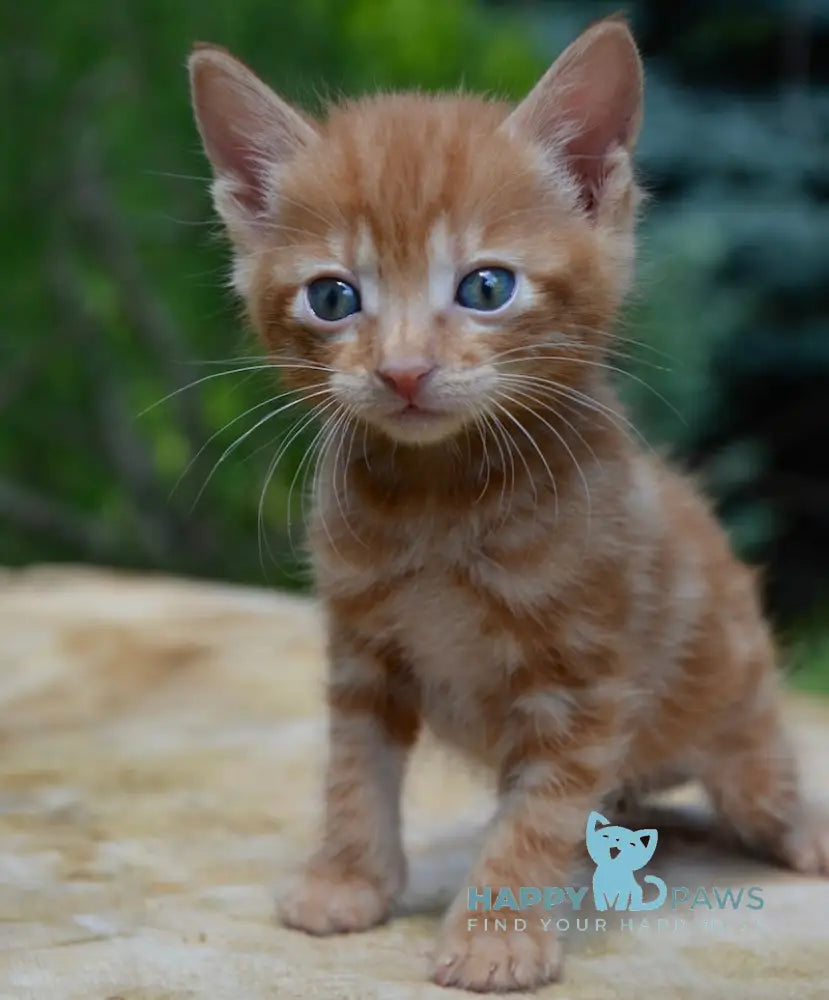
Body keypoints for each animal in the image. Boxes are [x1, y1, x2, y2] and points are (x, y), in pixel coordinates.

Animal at [189, 15, 828, 992]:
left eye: (485, 287)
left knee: (764, 779)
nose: (402, 370)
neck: (439, 502)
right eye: (333, 297)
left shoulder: (582, 682)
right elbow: (353, 774)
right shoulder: (361, 654)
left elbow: (536, 818)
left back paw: (798, 831)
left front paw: (495, 936)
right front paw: (346, 879)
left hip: (739, 712)